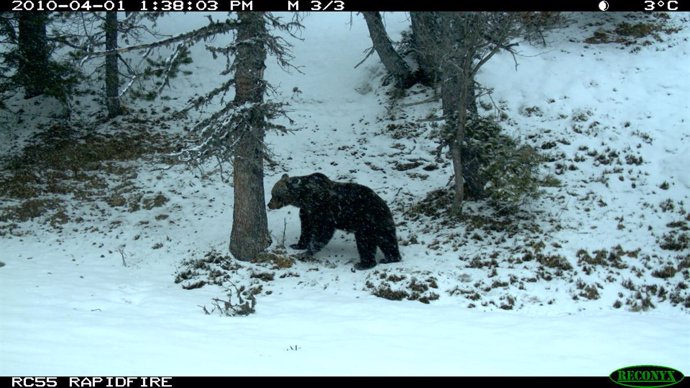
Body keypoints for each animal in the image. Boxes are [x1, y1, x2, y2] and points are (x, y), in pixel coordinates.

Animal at [266, 173, 400, 270]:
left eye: (274, 194)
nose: (269, 204)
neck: (304, 197)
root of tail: (384, 206)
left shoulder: (323, 208)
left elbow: (322, 231)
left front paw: (306, 252)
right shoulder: (307, 211)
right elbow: (306, 228)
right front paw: (298, 245)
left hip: (367, 222)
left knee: (365, 242)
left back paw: (363, 264)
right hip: (381, 224)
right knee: (388, 241)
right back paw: (390, 258)